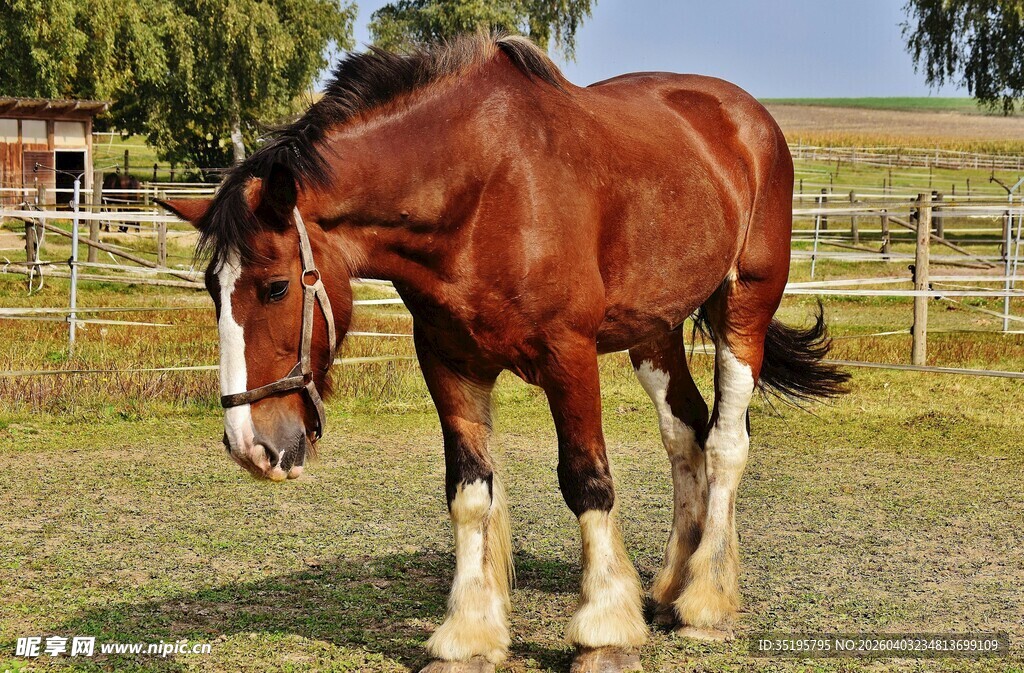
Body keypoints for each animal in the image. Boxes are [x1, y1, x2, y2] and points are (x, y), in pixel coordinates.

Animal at [159, 34, 848, 673]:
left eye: (275, 286)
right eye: (212, 289)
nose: (250, 445)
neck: (482, 191)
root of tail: (747, 118)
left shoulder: (569, 357)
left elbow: (587, 482)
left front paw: (602, 631)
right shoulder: (449, 363)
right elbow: (469, 493)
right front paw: (468, 635)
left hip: (744, 309)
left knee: (726, 442)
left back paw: (705, 601)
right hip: (654, 330)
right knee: (685, 434)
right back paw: (670, 590)